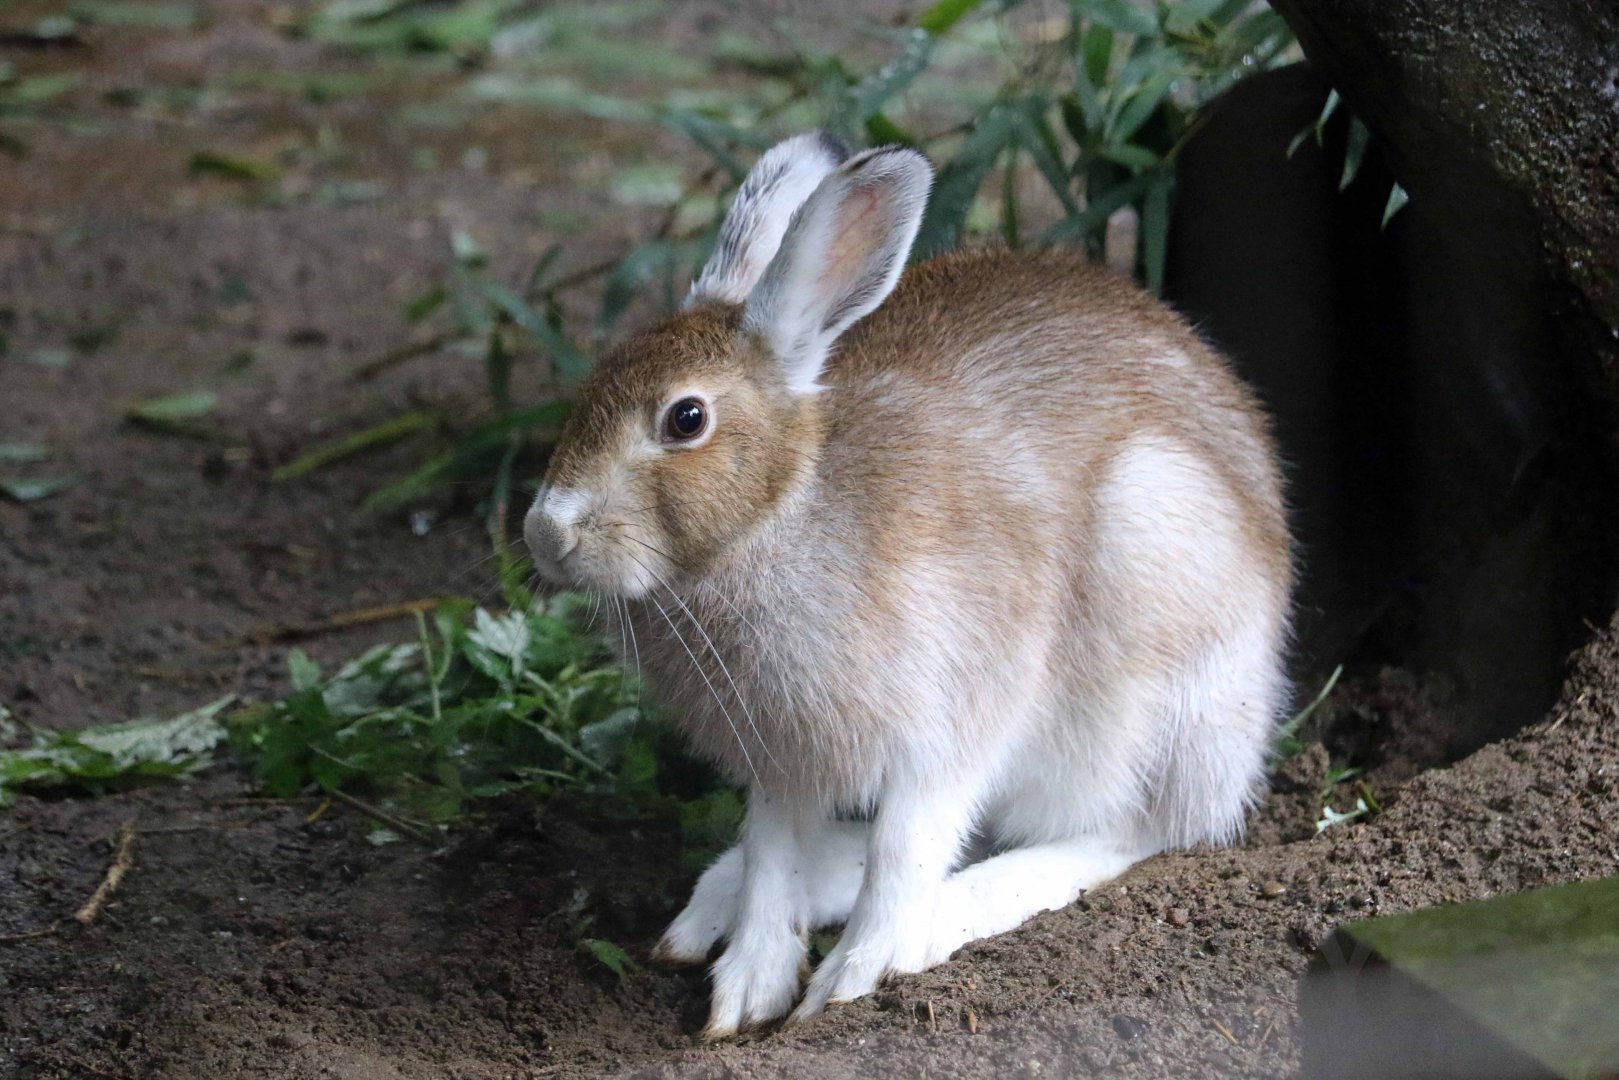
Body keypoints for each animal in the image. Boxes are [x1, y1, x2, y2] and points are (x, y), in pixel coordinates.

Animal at [523, 132, 1293, 1038]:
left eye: (686, 419)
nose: (545, 534)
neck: (775, 524)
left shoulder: (953, 724)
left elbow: (907, 845)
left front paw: (851, 978)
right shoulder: (780, 760)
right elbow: (773, 854)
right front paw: (746, 992)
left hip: (1151, 628)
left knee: (1131, 828)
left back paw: (946, 919)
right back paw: (718, 902)